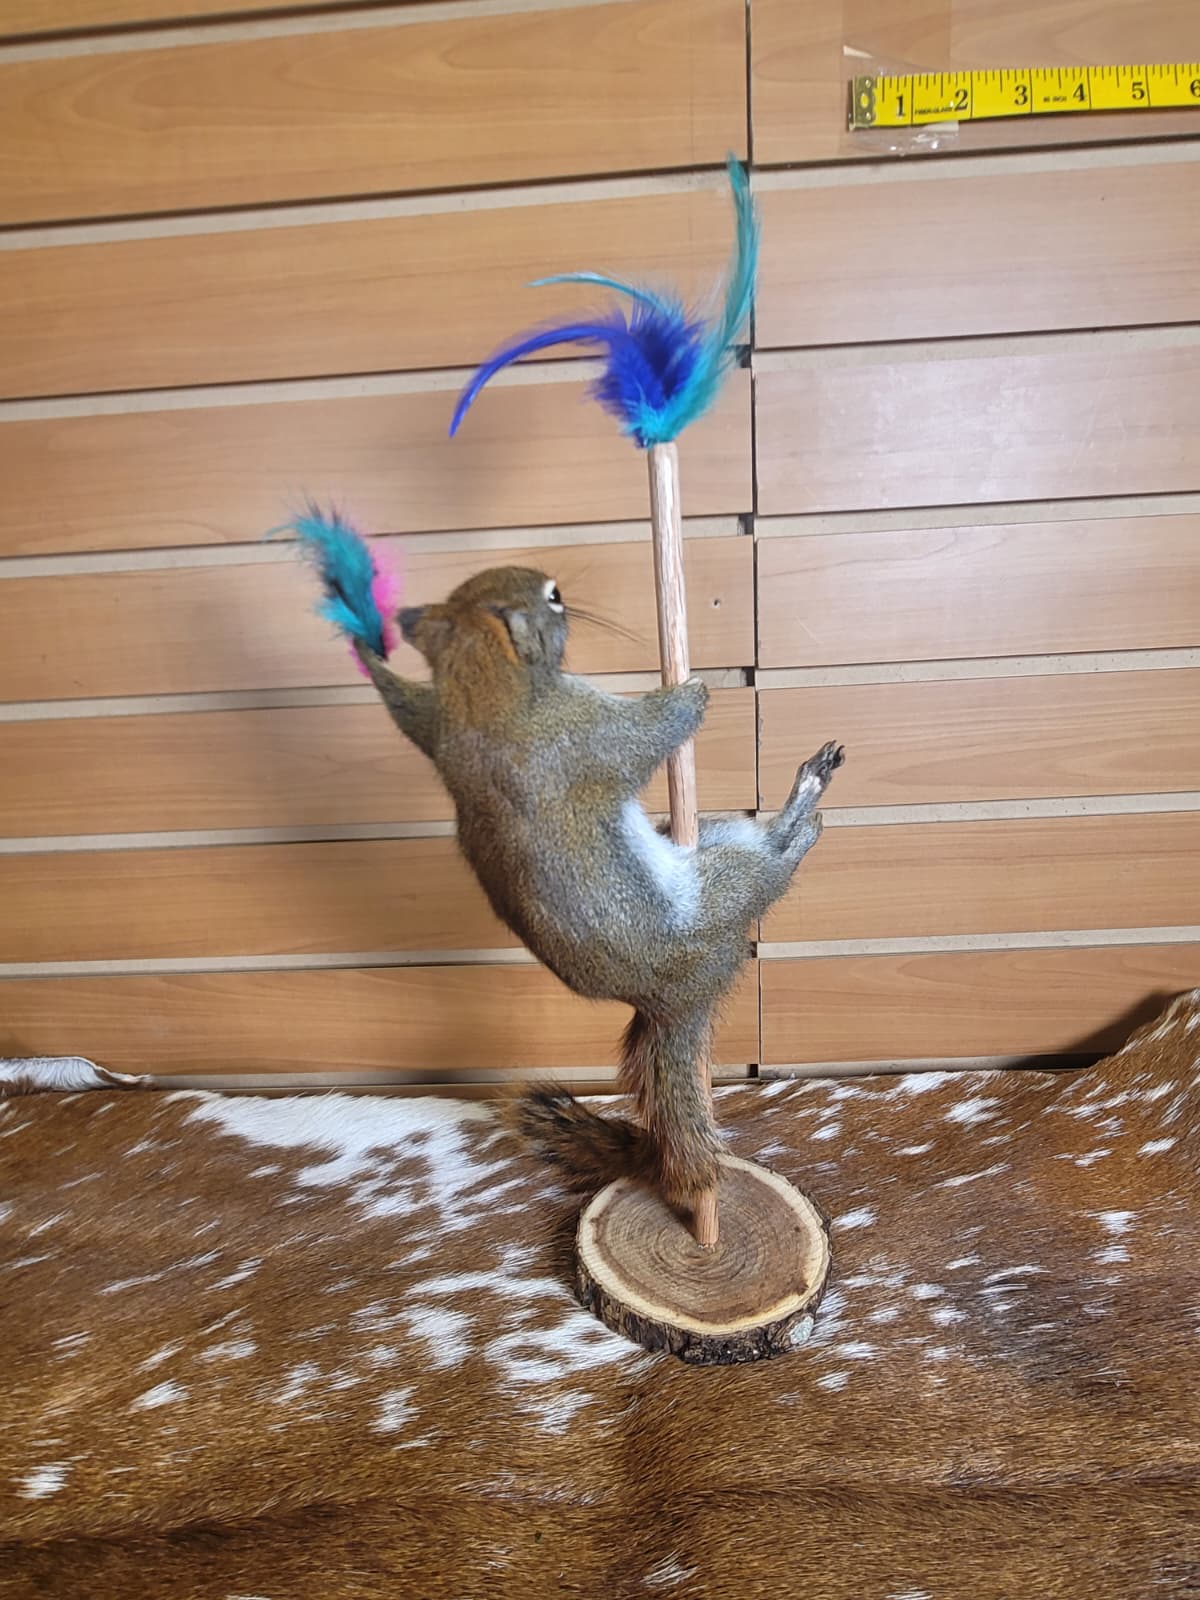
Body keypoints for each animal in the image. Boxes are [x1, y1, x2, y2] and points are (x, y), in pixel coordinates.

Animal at [357, 565, 843, 1208]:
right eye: (554, 597)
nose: (560, 589)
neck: (481, 693)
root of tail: (675, 1001)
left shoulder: (433, 723)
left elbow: (401, 703)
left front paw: (369, 653)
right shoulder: (588, 735)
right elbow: (647, 733)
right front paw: (693, 693)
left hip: (712, 838)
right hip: (729, 884)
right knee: (772, 869)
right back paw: (802, 821)